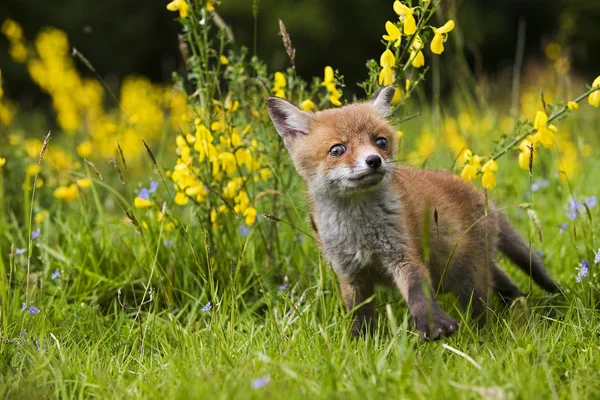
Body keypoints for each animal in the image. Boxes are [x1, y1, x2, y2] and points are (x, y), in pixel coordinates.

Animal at [264, 87, 560, 340]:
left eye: (380, 141)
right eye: (338, 149)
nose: (374, 161)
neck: (359, 230)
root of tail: (479, 194)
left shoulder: (403, 255)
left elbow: (418, 291)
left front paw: (433, 324)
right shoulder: (350, 274)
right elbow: (358, 316)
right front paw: (359, 345)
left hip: (468, 277)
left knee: (484, 304)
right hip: (461, 271)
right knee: (507, 285)